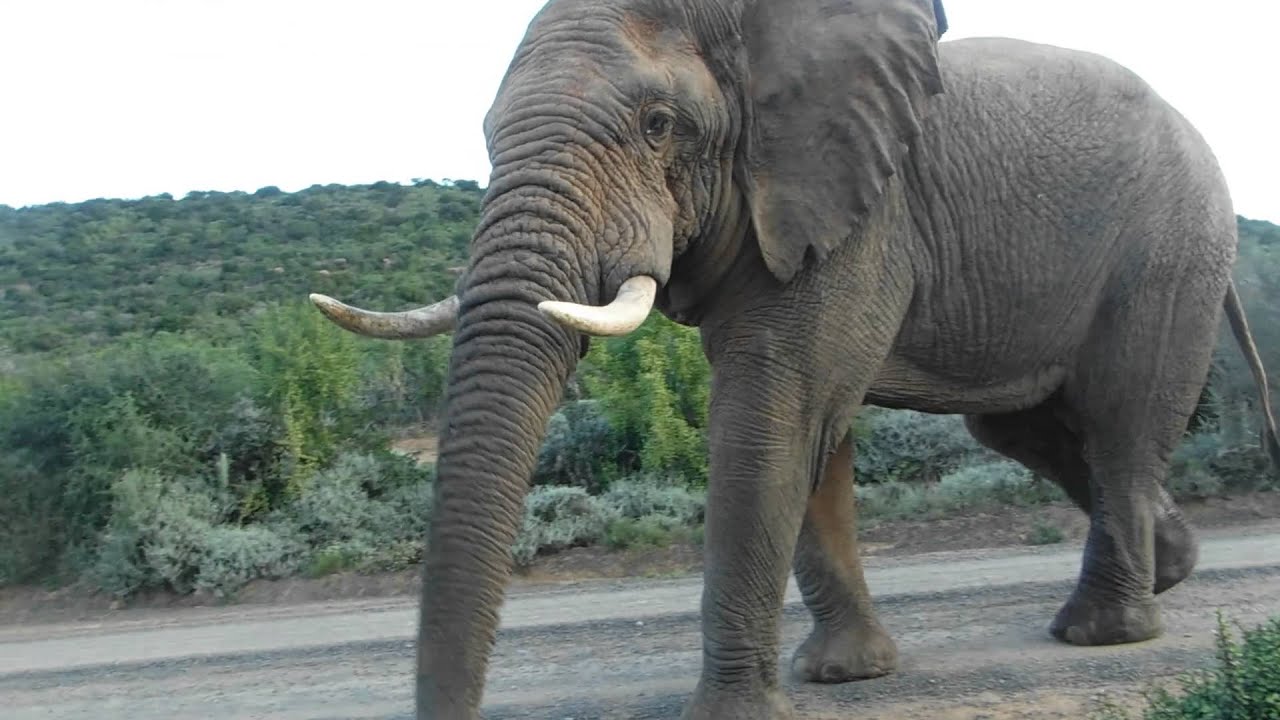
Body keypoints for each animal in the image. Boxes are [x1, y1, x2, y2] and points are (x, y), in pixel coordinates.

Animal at [308, 0, 1280, 717]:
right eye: (485, 134)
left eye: (658, 125)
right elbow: (812, 435)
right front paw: (846, 676)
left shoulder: (864, 213)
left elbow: (772, 416)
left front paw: (738, 714)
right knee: (1024, 431)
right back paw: (1173, 569)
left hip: (1171, 247)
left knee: (1116, 423)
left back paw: (1103, 631)